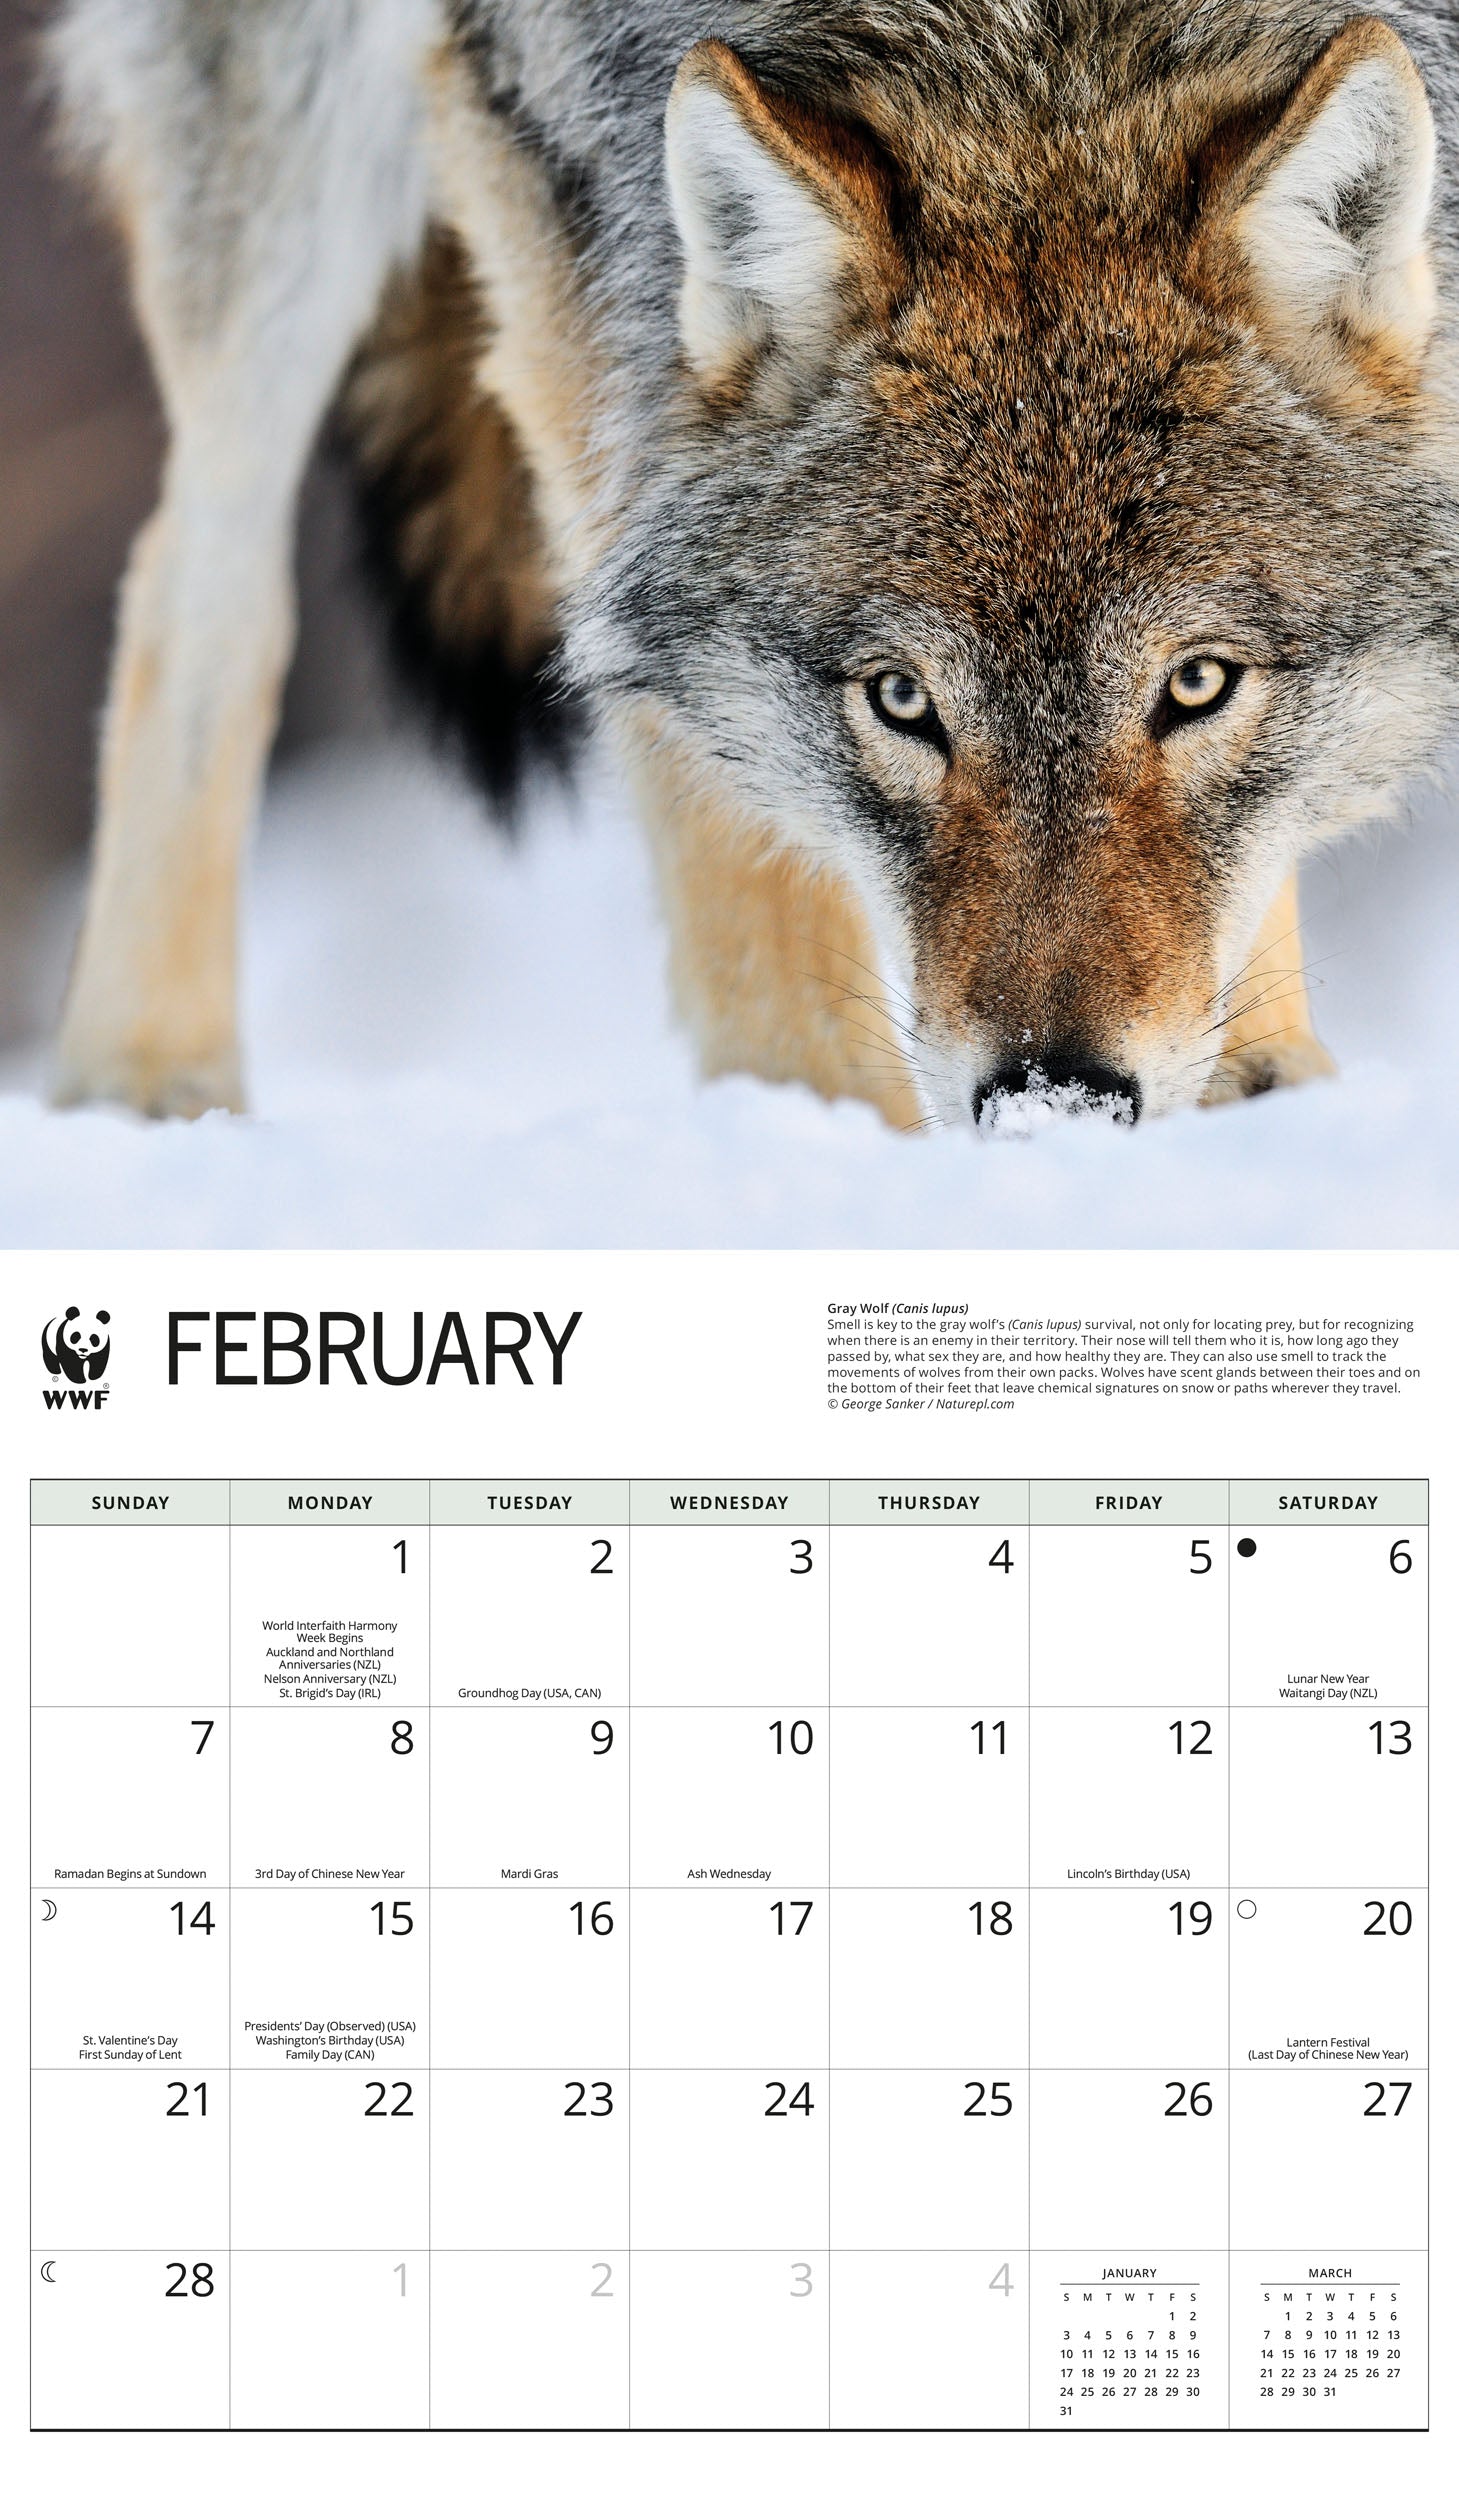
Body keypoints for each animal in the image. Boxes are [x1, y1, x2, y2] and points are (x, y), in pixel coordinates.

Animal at [45, 2, 1459, 1131]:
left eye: (1198, 685)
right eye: (902, 702)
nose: (1053, 1098)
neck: (1042, 49)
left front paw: (1256, 1097)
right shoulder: (556, 186)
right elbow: (731, 823)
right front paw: (830, 1138)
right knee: (199, 576)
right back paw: (149, 1096)